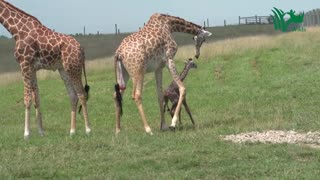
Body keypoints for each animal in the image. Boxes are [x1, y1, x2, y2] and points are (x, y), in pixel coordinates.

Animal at [0, 0, 90, 138]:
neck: (16, 30)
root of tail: (82, 49)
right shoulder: (32, 69)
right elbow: (36, 98)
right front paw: (41, 132)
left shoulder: (24, 64)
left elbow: (27, 99)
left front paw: (26, 133)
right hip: (64, 70)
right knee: (73, 95)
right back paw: (72, 131)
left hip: (73, 68)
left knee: (82, 94)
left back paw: (88, 129)